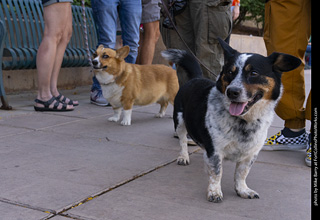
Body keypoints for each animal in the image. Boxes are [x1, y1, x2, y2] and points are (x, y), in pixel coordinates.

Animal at [161, 38, 302, 202]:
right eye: (229, 72)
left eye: (253, 73)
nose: (232, 92)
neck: (244, 121)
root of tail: (196, 77)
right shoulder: (215, 150)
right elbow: (217, 172)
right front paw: (214, 191)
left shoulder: (250, 154)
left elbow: (242, 173)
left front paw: (242, 190)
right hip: (180, 121)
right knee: (182, 140)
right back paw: (183, 156)